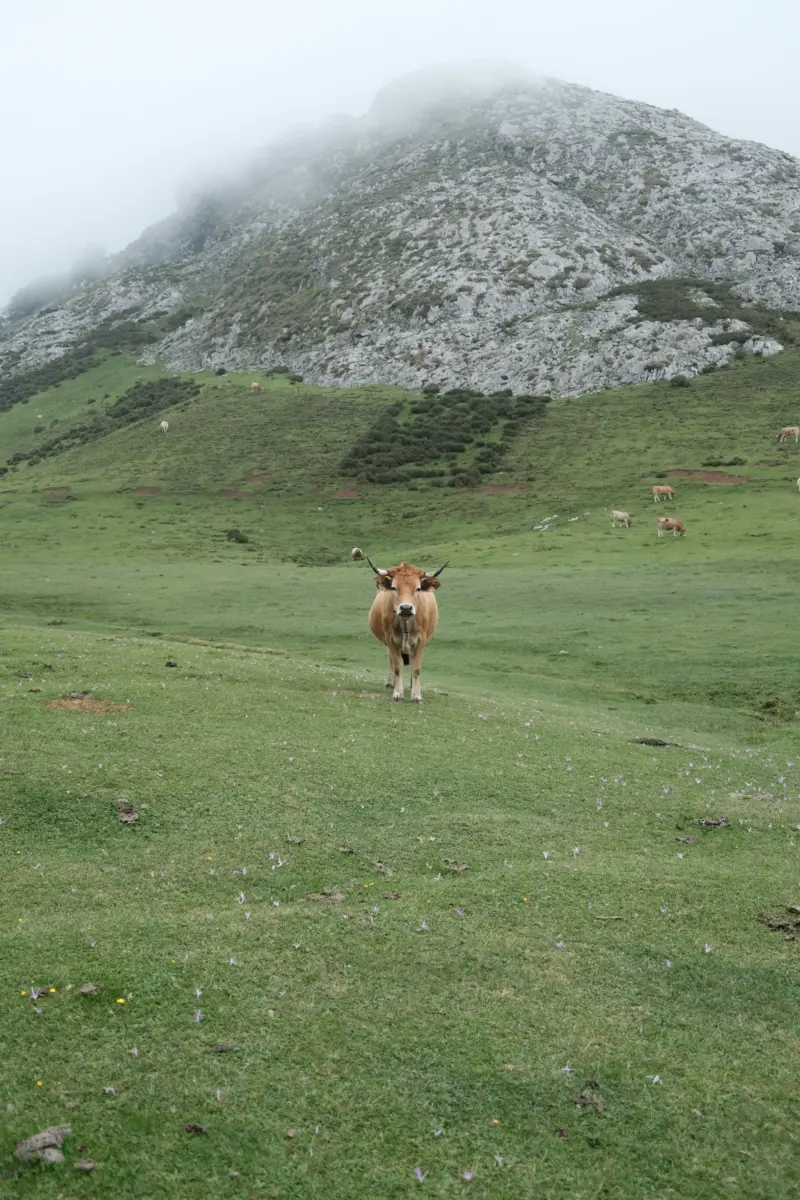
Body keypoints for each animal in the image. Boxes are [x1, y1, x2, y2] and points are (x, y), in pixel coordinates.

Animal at [367, 557, 447, 702]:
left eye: (418, 588)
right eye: (394, 587)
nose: (405, 608)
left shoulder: (421, 640)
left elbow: (416, 668)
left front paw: (417, 695)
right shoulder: (391, 639)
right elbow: (397, 666)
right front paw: (398, 693)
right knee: (392, 661)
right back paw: (390, 683)